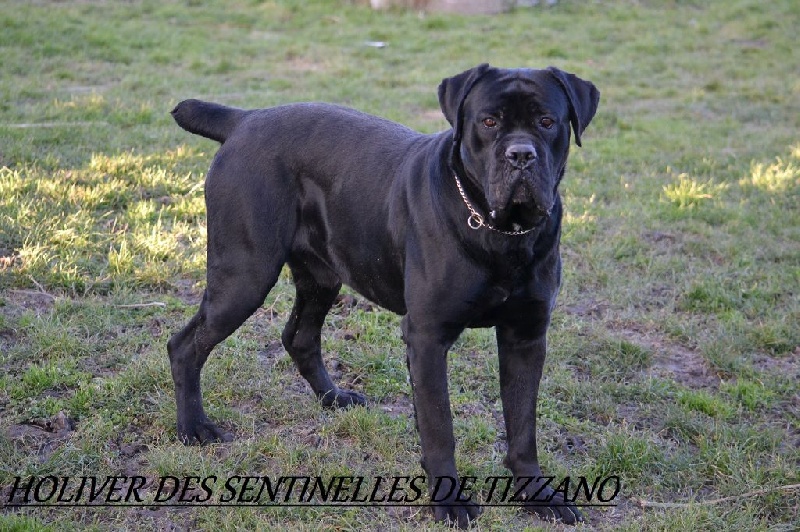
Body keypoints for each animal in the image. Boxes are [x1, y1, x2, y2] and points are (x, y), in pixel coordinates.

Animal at [172, 64, 604, 524]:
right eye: (489, 122)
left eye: (547, 121)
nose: (521, 155)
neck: (502, 234)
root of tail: (245, 119)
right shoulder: (428, 337)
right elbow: (439, 425)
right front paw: (449, 501)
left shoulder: (526, 337)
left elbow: (523, 426)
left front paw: (539, 495)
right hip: (245, 275)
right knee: (185, 345)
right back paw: (193, 428)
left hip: (321, 276)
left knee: (299, 337)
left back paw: (335, 397)